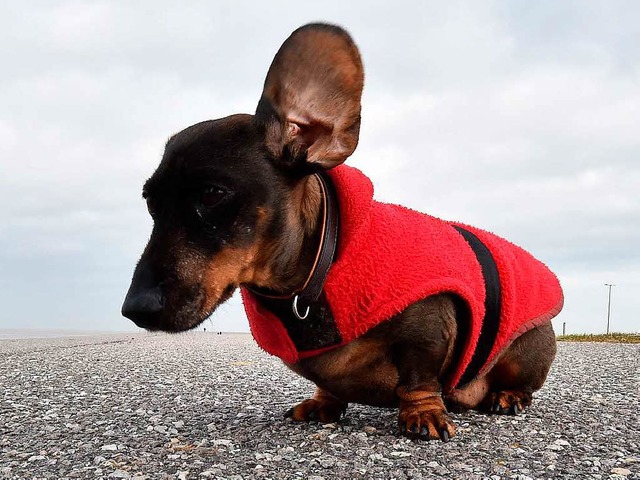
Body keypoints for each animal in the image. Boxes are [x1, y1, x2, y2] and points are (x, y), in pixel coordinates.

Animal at [122, 23, 564, 442]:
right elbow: (329, 388)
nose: (133, 310)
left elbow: (419, 380)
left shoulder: (430, 324)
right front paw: (322, 403)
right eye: (150, 203)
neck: (319, 270)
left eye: (213, 194)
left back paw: (506, 396)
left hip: (525, 351)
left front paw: (422, 413)